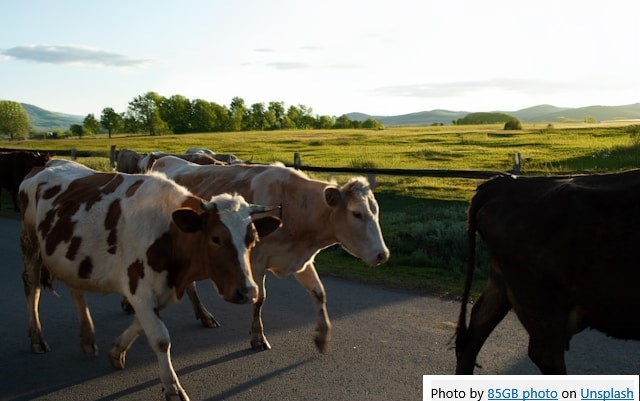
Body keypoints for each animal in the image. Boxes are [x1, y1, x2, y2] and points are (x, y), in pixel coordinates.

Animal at [19, 159, 282, 401]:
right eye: (216, 238)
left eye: (253, 239)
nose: (248, 292)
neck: (168, 232)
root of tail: (45, 164)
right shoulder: (139, 288)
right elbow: (160, 338)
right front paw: (173, 388)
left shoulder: (159, 289)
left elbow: (140, 325)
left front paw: (116, 351)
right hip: (30, 244)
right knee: (32, 287)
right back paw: (37, 338)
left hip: (74, 259)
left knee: (77, 291)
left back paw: (87, 338)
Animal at [134, 155, 390, 352]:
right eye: (356, 213)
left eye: (376, 210)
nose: (383, 254)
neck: (294, 206)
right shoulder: (255, 262)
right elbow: (259, 299)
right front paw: (257, 337)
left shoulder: (302, 260)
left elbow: (319, 294)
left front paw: (322, 337)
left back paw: (203, 316)